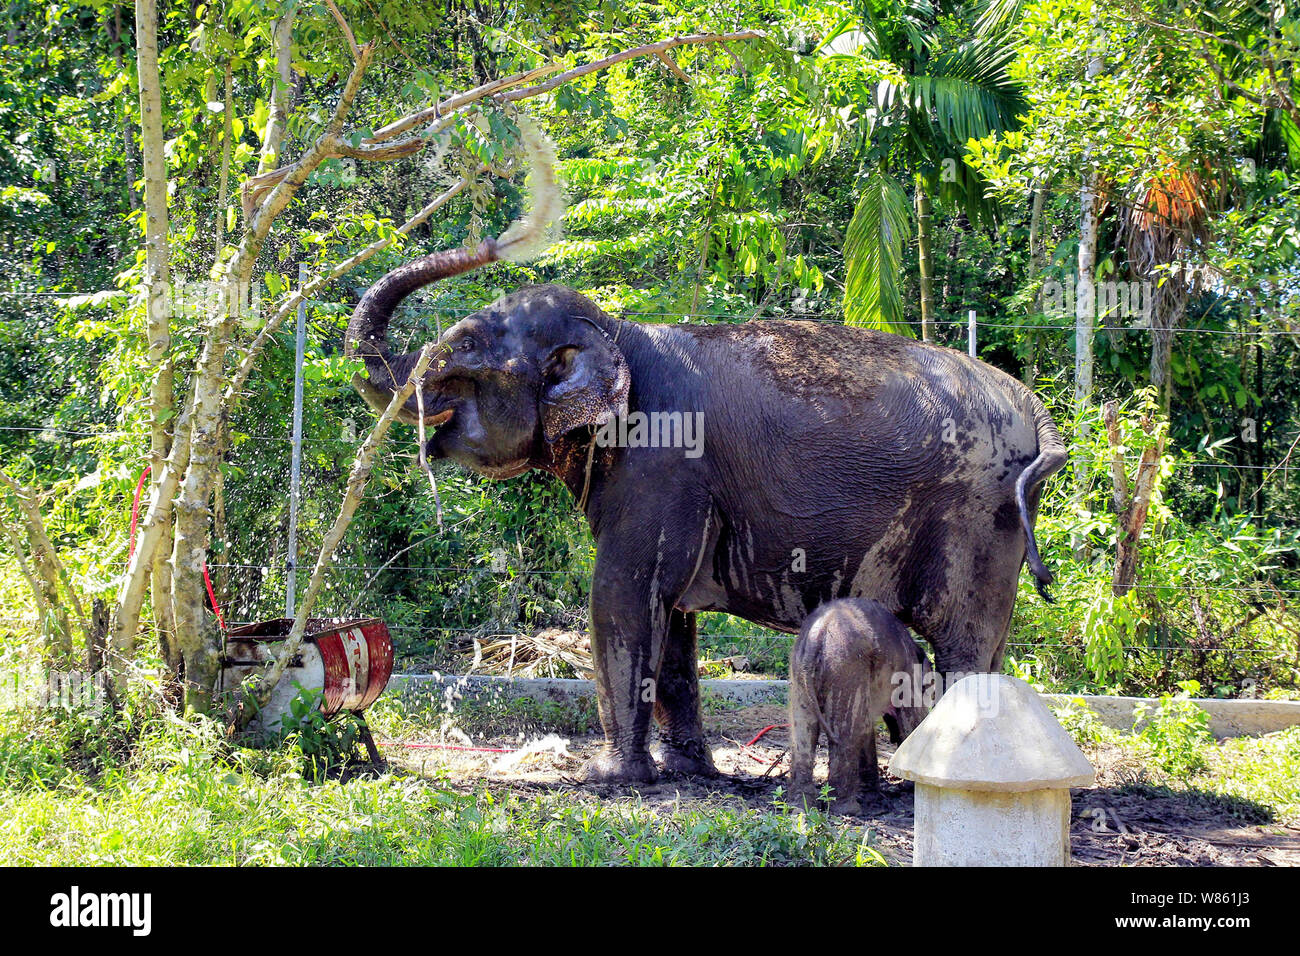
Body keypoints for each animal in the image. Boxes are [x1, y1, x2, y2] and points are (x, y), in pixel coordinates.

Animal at [345, 244, 1066, 785]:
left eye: (466, 345)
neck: (619, 334)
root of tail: (1035, 408)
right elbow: (672, 615)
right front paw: (690, 773)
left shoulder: (662, 463)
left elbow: (623, 595)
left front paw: (611, 780)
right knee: (987, 648)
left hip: (974, 516)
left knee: (963, 647)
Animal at [785, 598, 930, 816]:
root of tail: (817, 635)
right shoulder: (906, 676)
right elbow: (912, 720)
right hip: (846, 669)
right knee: (849, 731)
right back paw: (848, 809)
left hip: (800, 672)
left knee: (803, 729)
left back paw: (801, 806)